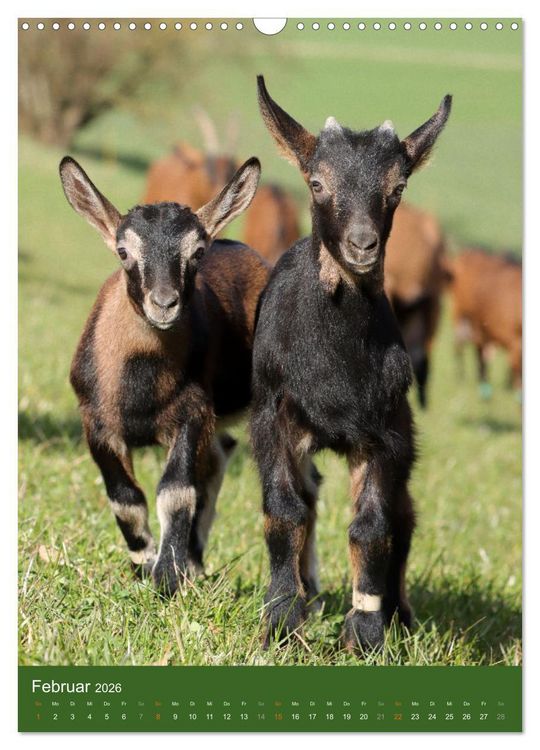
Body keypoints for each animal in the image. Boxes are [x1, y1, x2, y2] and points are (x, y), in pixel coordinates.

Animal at [60, 155, 268, 595]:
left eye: (197, 252)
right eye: (123, 251)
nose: (164, 303)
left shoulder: (192, 412)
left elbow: (176, 491)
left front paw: (168, 576)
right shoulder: (96, 422)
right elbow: (125, 497)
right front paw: (144, 563)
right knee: (218, 458)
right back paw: (195, 561)